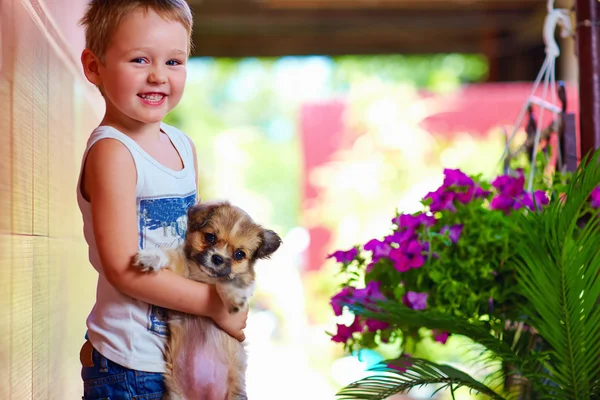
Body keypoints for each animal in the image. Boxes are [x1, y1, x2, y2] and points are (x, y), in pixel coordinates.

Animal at [133, 202, 282, 398]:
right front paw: (151, 257)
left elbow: (228, 281)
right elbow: (168, 254)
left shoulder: (242, 280)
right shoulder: (181, 271)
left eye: (239, 254)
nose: (217, 258)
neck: (204, 277)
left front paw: (234, 298)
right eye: (210, 237)